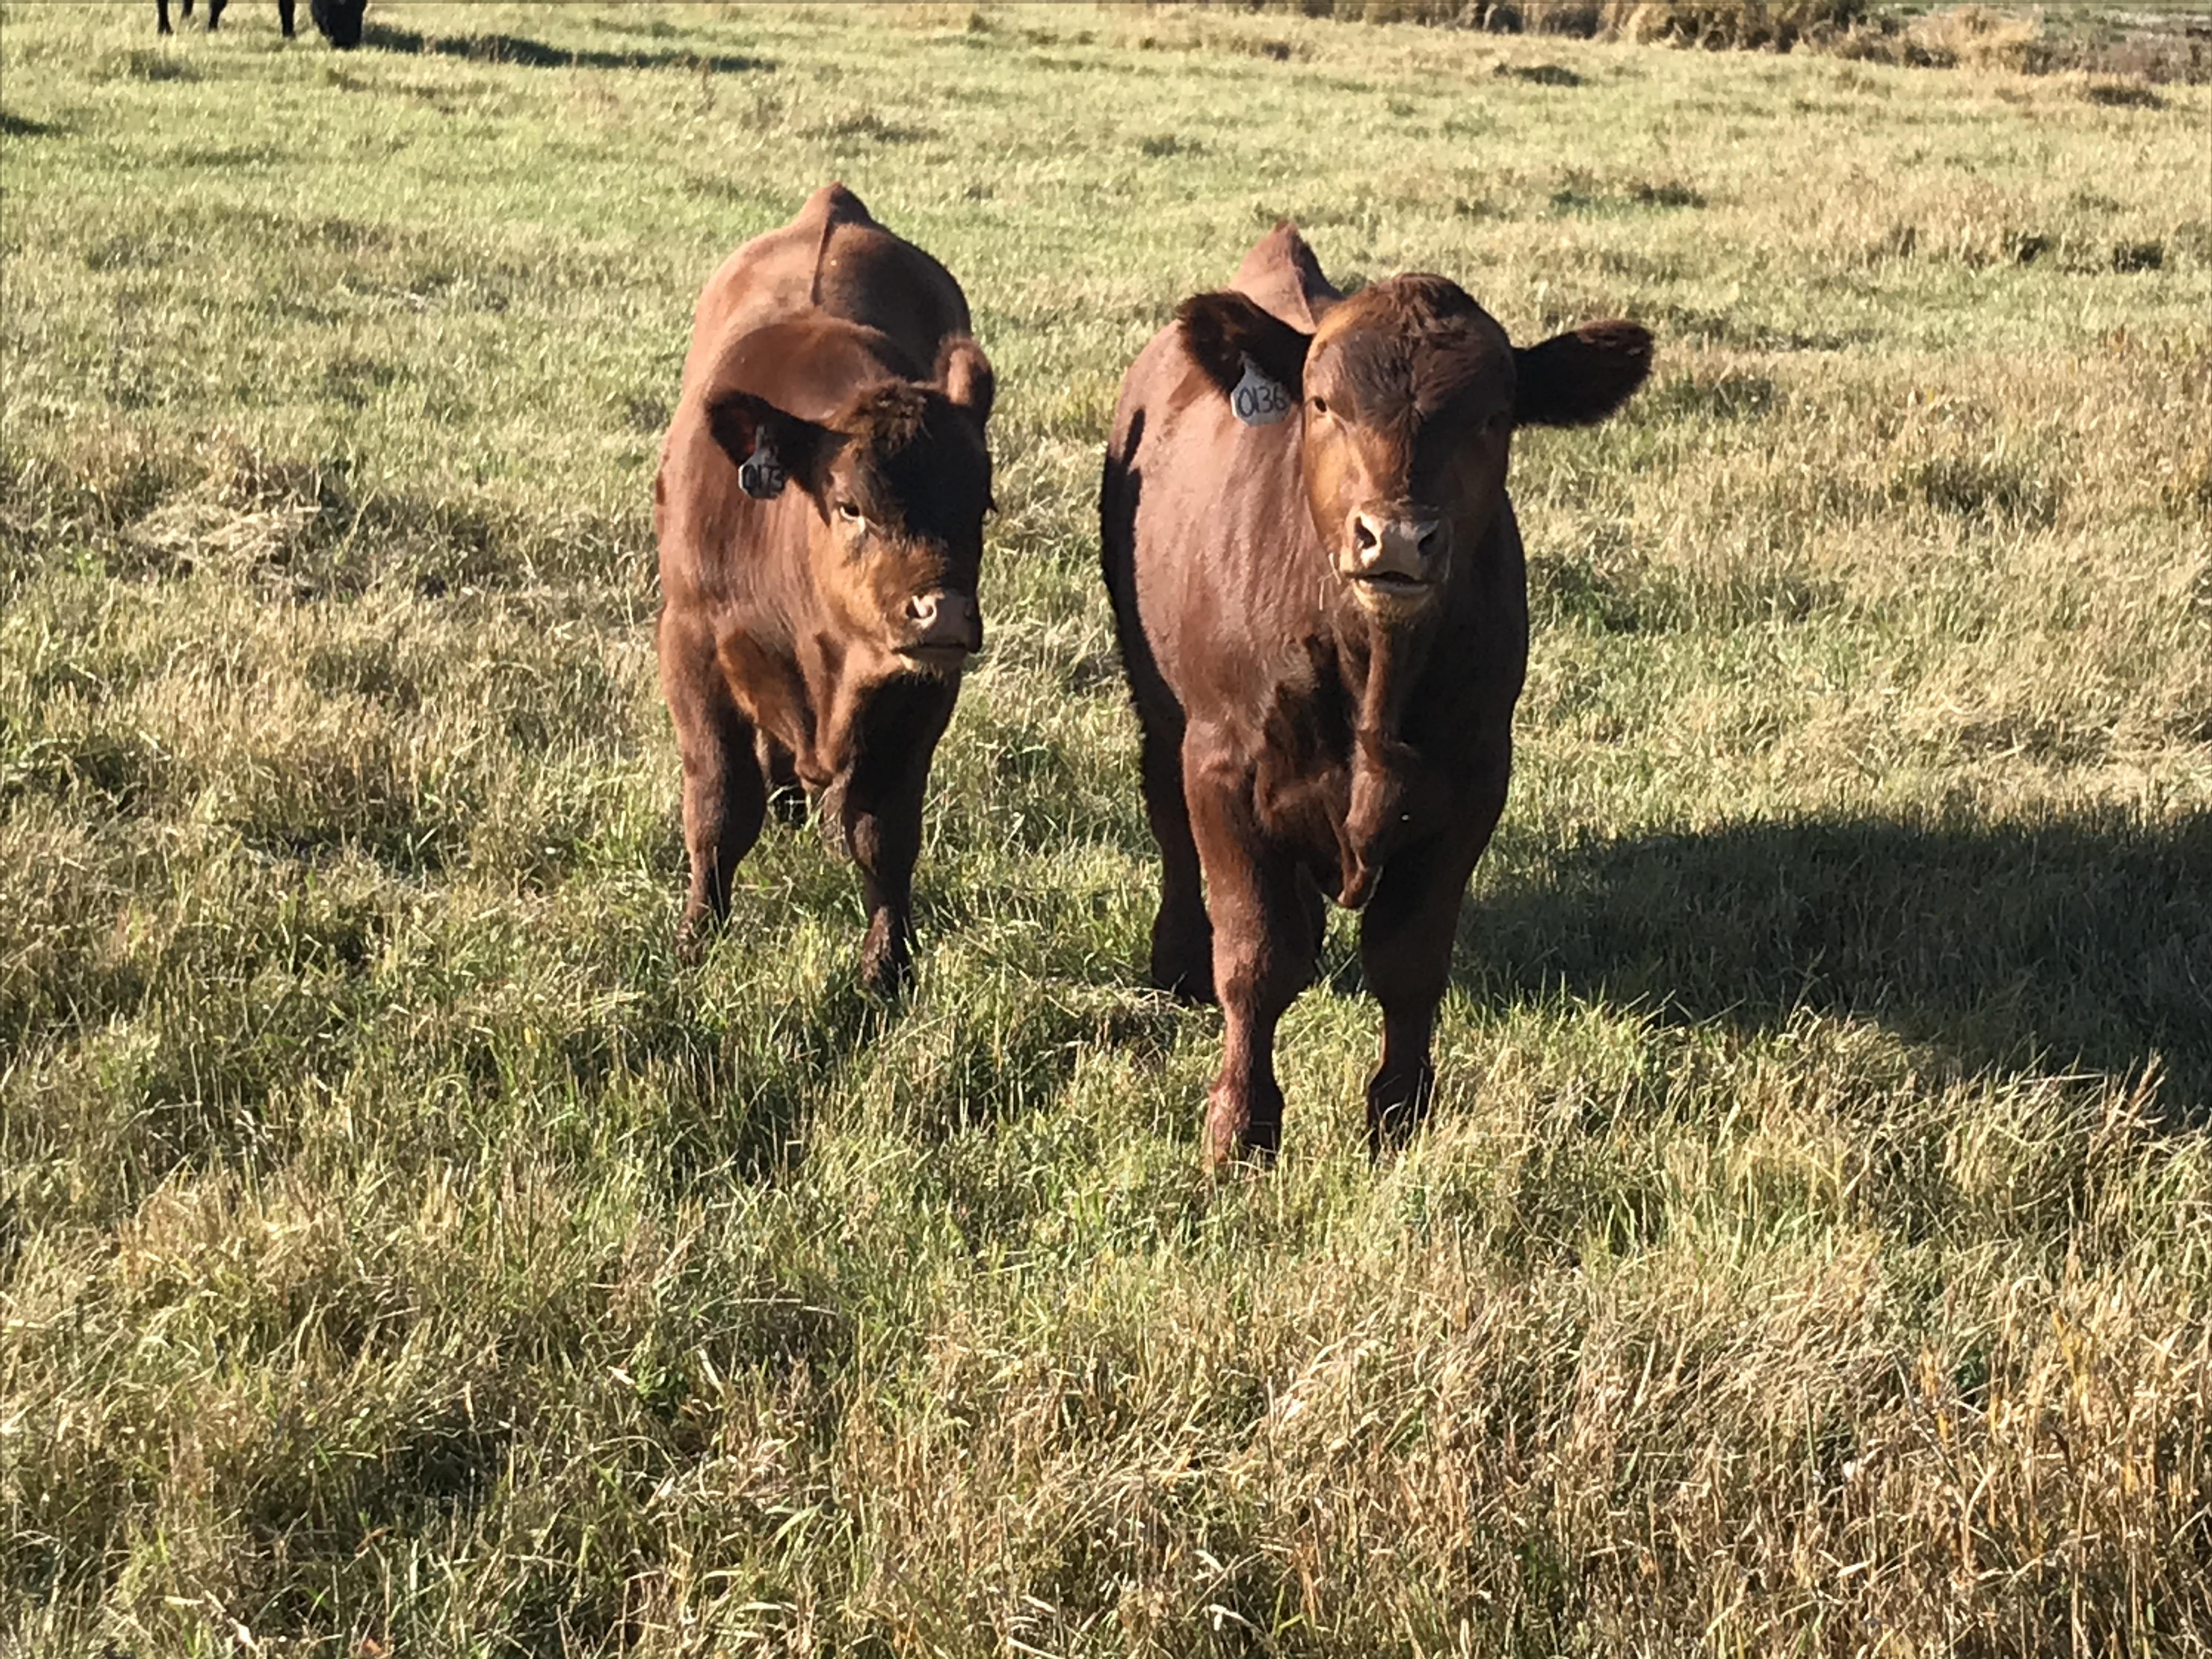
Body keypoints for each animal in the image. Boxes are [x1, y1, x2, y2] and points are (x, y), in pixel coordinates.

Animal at [1097, 228, 1654, 1177]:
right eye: (1324, 404)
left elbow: (1410, 961)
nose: (1394, 538)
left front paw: (1400, 1116)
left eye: (1493, 417)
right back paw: (1175, 960)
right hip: (1156, 700)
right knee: (1168, 821)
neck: (1374, 678)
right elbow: (1254, 957)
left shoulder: (1473, 782)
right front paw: (1240, 1127)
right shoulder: (1222, 768)